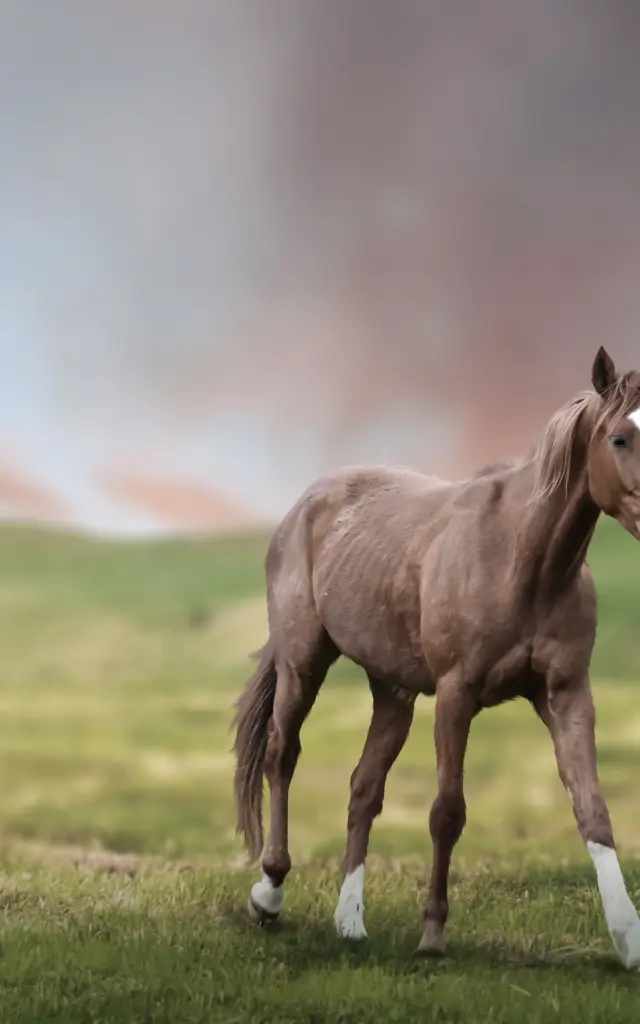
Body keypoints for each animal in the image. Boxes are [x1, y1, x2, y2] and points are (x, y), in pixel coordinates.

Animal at [233, 346, 640, 969]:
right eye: (620, 437)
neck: (521, 558)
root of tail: (308, 501)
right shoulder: (456, 694)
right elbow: (447, 812)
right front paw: (432, 934)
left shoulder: (567, 694)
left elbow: (593, 810)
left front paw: (629, 938)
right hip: (303, 664)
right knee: (282, 756)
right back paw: (269, 894)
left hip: (392, 692)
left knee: (364, 787)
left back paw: (350, 921)